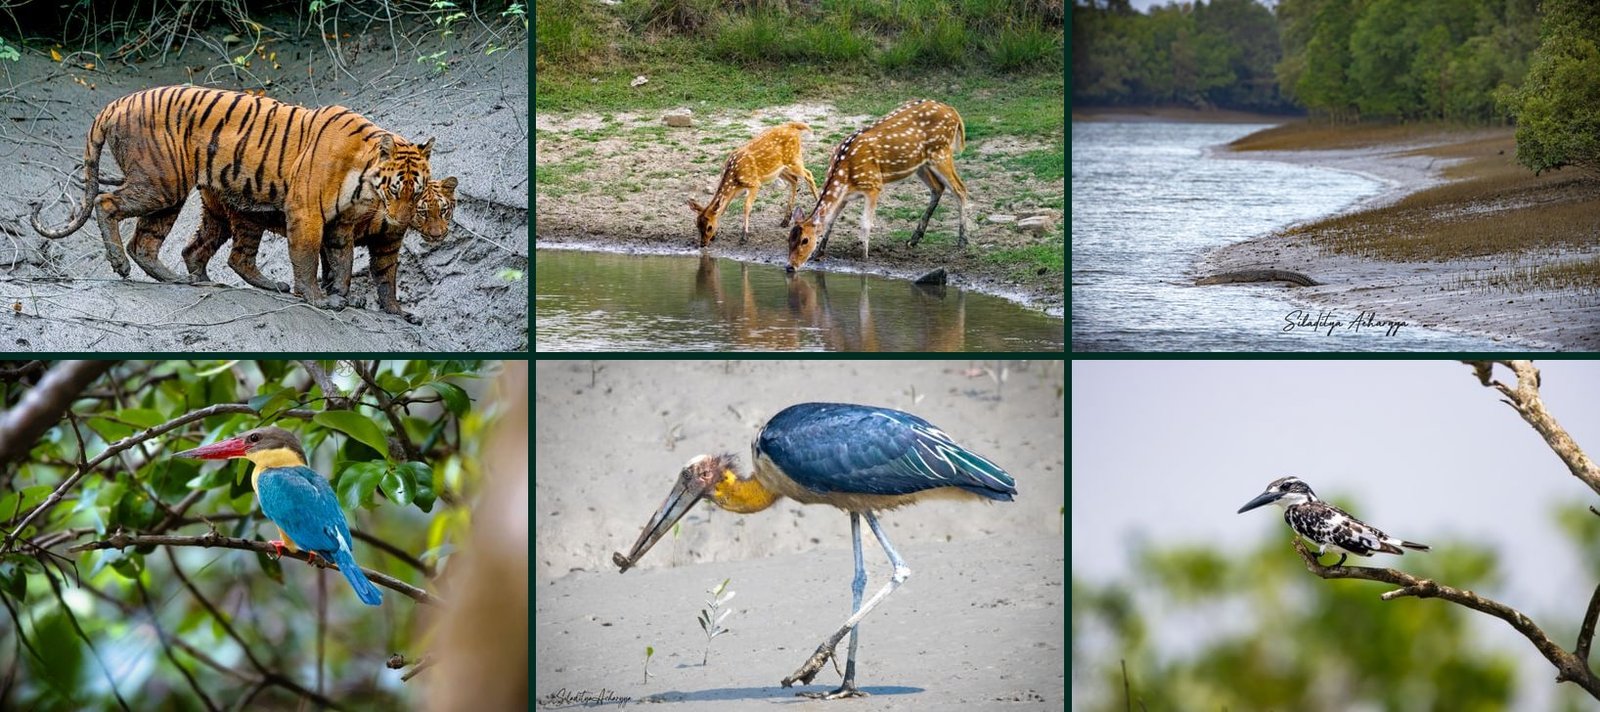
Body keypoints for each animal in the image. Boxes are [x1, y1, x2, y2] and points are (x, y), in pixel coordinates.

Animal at [29, 85, 434, 309]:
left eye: (417, 194)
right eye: (395, 189)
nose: (400, 222)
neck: (363, 180)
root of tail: (114, 104)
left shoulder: (340, 225)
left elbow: (341, 262)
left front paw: (342, 297)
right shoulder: (307, 213)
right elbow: (306, 258)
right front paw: (317, 298)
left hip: (176, 195)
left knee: (151, 242)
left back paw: (181, 279)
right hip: (161, 182)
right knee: (106, 204)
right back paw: (120, 264)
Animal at [183, 177, 458, 324]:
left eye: (443, 210)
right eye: (423, 212)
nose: (438, 234)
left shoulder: (387, 245)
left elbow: (386, 280)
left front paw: (398, 312)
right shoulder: (339, 227)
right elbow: (339, 266)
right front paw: (342, 297)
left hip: (217, 216)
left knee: (192, 249)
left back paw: (201, 279)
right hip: (248, 216)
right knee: (238, 257)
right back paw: (272, 285)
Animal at [688, 121, 820, 248]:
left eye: (709, 227)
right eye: (697, 225)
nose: (702, 244)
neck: (734, 177)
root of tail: (793, 125)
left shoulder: (754, 183)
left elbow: (746, 207)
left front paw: (744, 237)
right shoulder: (736, 191)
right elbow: (724, 208)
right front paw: (716, 235)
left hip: (794, 159)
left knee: (809, 174)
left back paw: (818, 204)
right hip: (780, 169)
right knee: (794, 180)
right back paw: (785, 221)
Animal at [786, 99, 968, 273]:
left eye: (805, 240)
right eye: (788, 238)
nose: (790, 266)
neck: (845, 175)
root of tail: (953, 111)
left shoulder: (873, 185)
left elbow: (866, 224)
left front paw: (864, 256)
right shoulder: (844, 197)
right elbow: (830, 221)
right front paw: (819, 252)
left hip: (941, 152)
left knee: (960, 188)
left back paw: (963, 241)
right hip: (921, 164)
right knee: (938, 188)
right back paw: (913, 240)